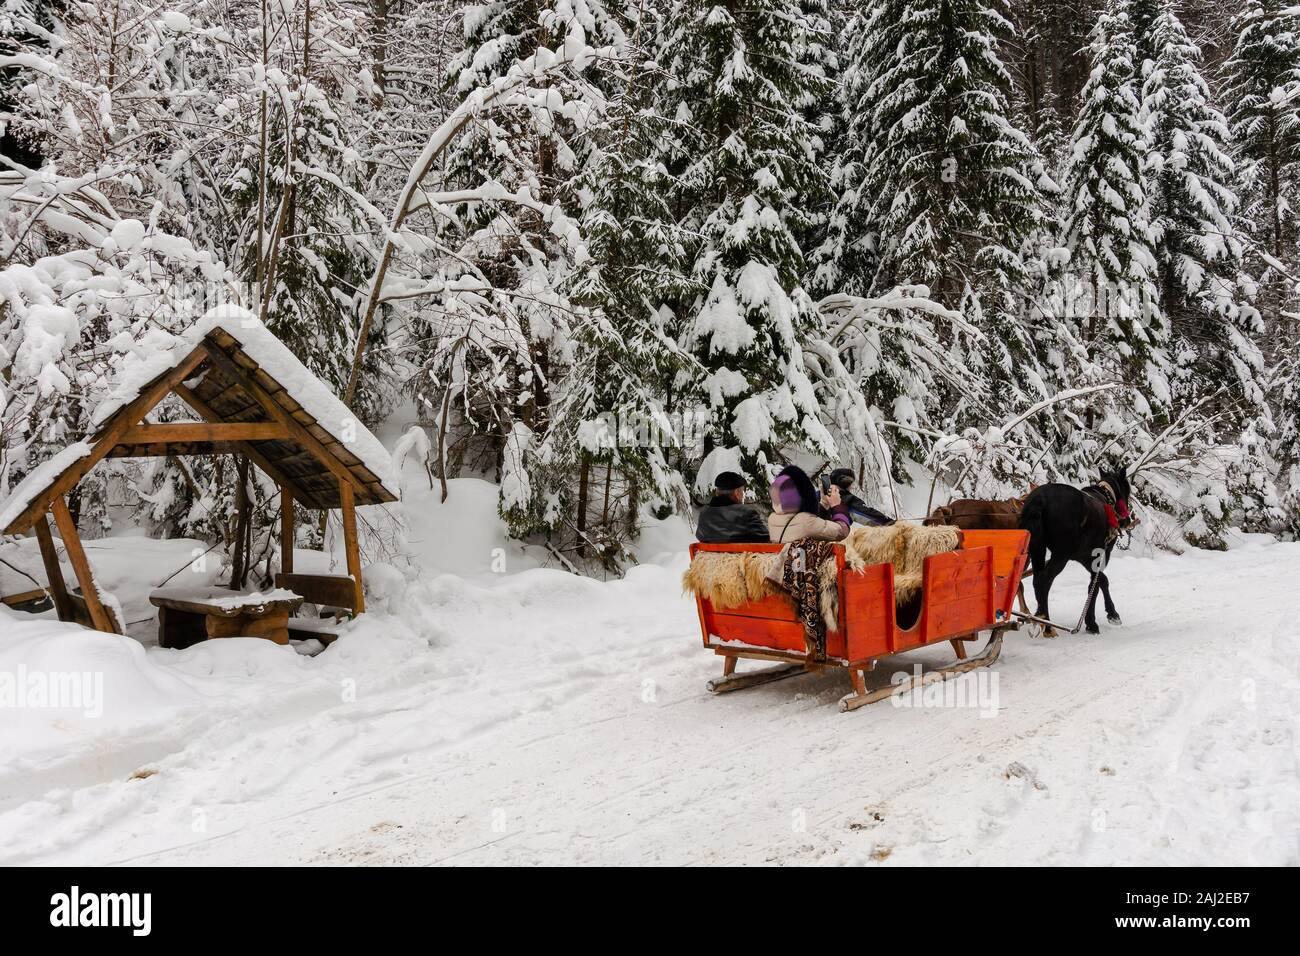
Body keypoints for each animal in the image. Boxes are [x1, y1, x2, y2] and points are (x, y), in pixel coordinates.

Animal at [1019, 465, 1133, 634]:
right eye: (1127, 491)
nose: (1126, 520)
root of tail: (1040, 499)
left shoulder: (1085, 557)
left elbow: (1100, 581)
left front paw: (1102, 617)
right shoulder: (1100, 555)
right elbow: (1097, 584)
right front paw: (1099, 620)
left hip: (1036, 549)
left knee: (1037, 580)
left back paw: (1038, 618)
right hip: (1061, 556)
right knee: (1044, 580)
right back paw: (1047, 625)